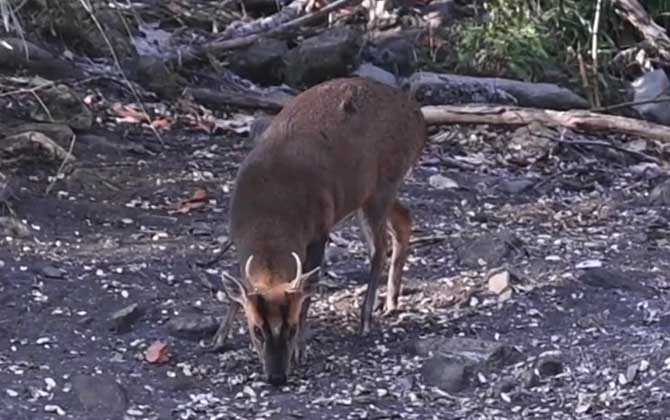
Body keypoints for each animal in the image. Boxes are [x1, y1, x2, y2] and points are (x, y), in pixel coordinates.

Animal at [217, 77, 426, 386]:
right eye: (256, 330)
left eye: (291, 328)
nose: (277, 376)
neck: (269, 218)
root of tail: (418, 117)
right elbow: (239, 285)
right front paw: (219, 336)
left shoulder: (318, 231)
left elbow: (308, 291)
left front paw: (300, 351)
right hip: (370, 192)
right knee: (404, 219)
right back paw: (391, 301)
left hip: (383, 183)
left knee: (379, 247)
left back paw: (366, 317)